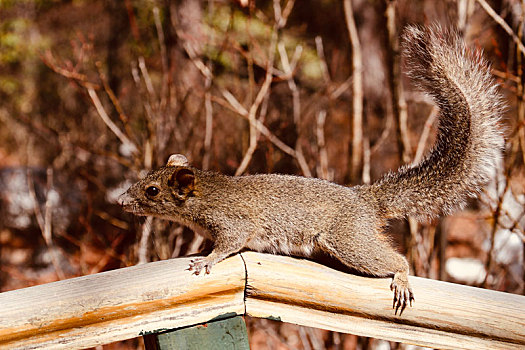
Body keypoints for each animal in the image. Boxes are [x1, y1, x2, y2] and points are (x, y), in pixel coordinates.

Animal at [117, 26, 504, 312]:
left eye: (152, 190)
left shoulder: (232, 222)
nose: (121, 201)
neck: (206, 194)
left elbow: (230, 243)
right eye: (146, 180)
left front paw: (206, 260)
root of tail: (364, 201)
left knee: (394, 259)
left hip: (347, 239)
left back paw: (401, 278)